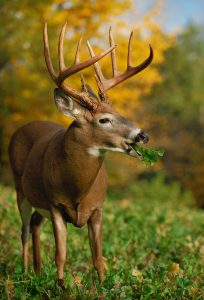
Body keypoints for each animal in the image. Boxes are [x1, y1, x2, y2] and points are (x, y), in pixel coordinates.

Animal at [8, 22, 153, 288]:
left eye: (120, 112)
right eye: (104, 119)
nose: (143, 135)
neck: (77, 188)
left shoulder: (98, 208)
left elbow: (98, 257)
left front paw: (104, 287)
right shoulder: (55, 204)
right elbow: (61, 254)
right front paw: (61, 287)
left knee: (34, 224)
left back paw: (36, 272)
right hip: (19, 189)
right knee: (23, 230)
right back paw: (24, 273)